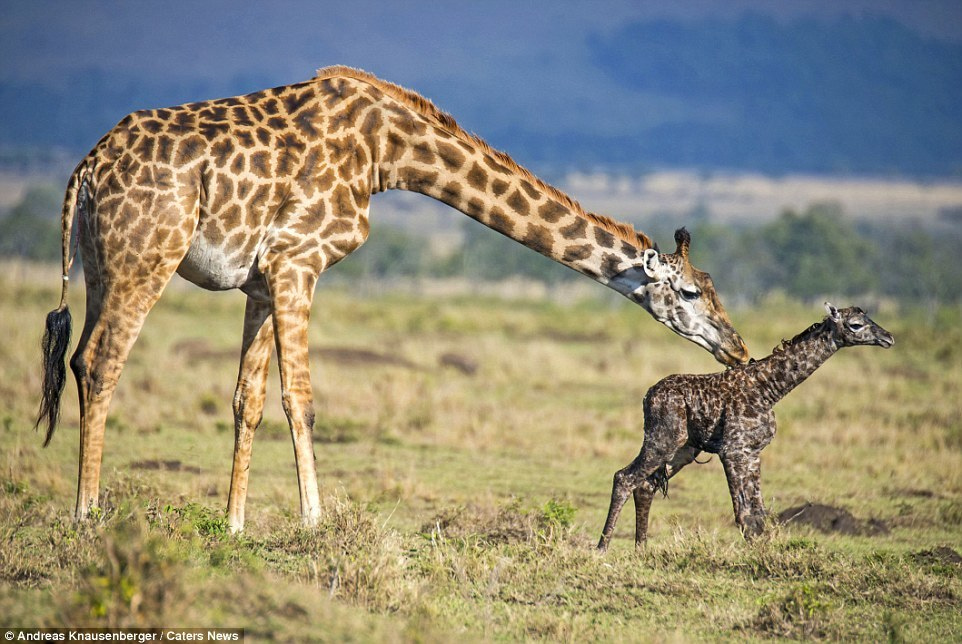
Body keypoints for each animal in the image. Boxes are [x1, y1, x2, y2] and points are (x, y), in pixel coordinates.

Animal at [37, 65, 748, 532]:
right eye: (691, 292)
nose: (737, 349)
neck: (389, 152)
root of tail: (86, 168)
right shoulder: (299, 260)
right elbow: (302, 400)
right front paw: (315, 521)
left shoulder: (264, 277)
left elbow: (249, 401)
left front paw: (234, 525)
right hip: (146, 259)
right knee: (100, 364)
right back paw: (85, 514)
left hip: (103, 265)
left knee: (80, 359)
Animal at [596, 302, 896, 548]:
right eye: (855, 325)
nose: (888, 338)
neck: (769, 389)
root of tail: (648, 395)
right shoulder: (734, 449)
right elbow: (744, 513)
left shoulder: (752, 452)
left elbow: (758, 512)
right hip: (664, 439)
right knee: (623, 477)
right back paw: (602, 548)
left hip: (683, 449)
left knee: (645, 485)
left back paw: (641, 550)